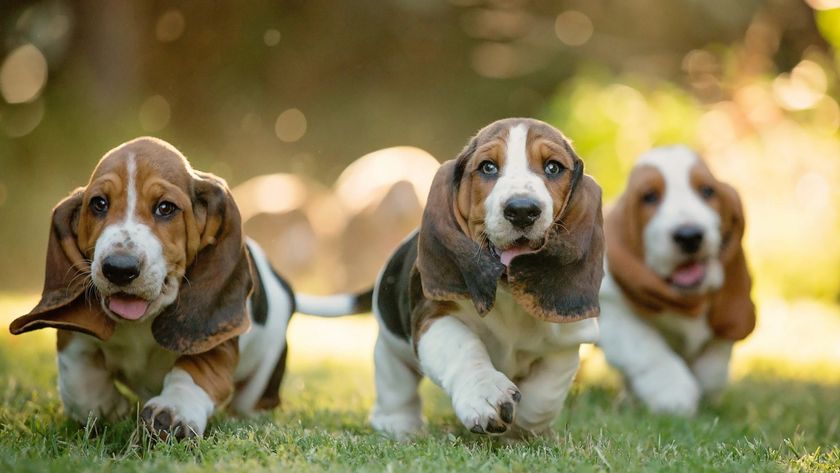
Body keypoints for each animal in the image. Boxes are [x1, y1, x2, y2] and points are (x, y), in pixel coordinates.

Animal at [596, 146, 756, 414]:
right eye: (649, 196)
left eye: (707, 191)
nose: (690, 236)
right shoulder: (613, 316)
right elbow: (648, 348)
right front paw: (673, 394)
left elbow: (716, 360)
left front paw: (706, 387)